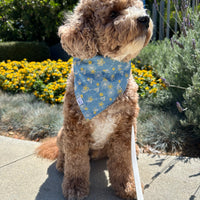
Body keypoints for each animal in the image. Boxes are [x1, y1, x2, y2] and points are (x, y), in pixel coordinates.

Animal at [36, 0, 152, 199]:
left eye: (138, 7)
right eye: (113, 13)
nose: (144, 18)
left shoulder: (124, 129)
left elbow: (122, 161)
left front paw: (127, 186)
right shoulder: (75, 129)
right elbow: (76, 162)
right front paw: (75, 187)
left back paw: (135, 150)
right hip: (62, 133)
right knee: (63, 153)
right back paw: (61, 164)